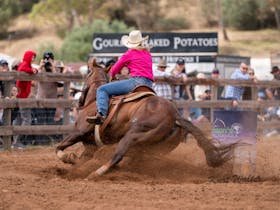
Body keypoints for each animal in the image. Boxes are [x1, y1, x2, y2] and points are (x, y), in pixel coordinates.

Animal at [55, 57, 233, 177]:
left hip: (133, 136)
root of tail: (176, 116)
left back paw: (95, 174)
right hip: (154, 148)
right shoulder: (91, 147)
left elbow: (58, 148)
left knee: (118, 156)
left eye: (87, 75)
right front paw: (71, 165)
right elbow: (78, 159)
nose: (79, 100)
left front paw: (68, 157)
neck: (94, 100)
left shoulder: (78, 132)